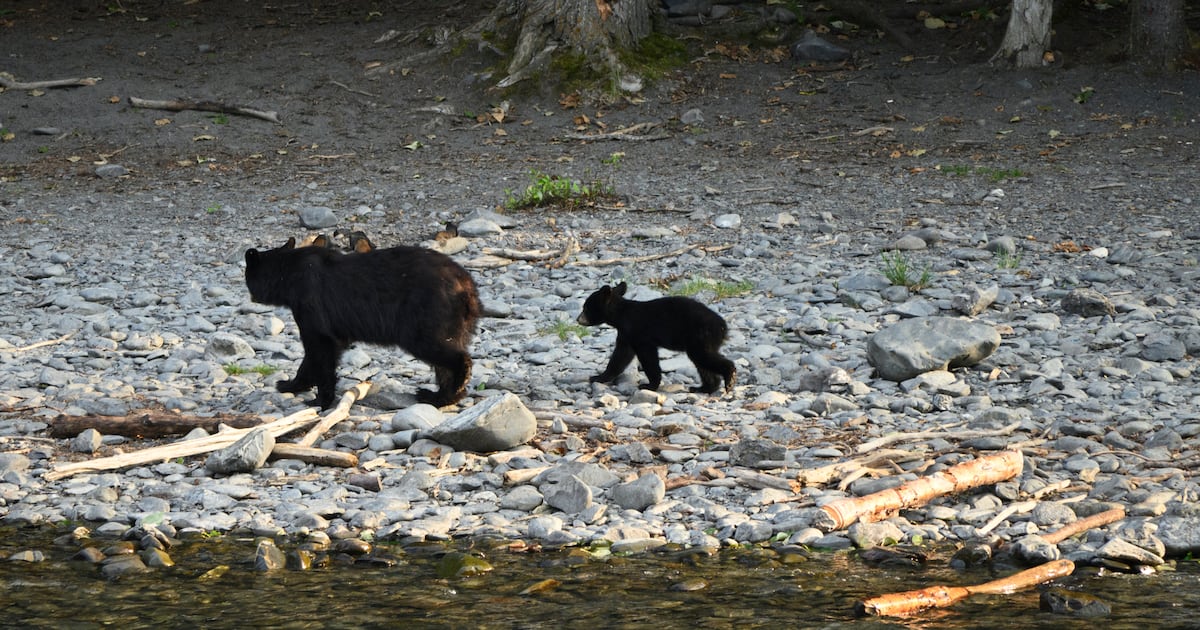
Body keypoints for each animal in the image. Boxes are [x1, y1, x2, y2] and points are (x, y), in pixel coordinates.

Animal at [244, 237, 481, 409]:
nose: (251, 296)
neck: (288, 276)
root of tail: (467, 286)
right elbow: (320, 352)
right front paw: (289, 384)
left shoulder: (310, 303)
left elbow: (320, 348)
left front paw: (318, 399)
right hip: (454, 321)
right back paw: (439, 396)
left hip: (425, 313)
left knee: (439, 350)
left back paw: (453, 388)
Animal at [576, 281, 736, 394]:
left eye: (585, 308)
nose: (578, 319)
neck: (621, 315)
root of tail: (723, 326)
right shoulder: (626, 334)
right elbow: (620, 356)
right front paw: (598, 377)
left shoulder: (639, 333)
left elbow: (647, 357)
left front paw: (649, 385)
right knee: (702, 363)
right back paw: (703, 388)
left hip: (700, 336)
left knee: (703, 357)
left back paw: (729, 377)